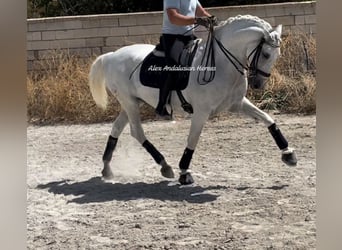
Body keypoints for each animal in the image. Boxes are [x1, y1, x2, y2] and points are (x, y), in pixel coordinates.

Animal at [88, 14, 296, 185]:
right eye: (266, 54)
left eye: (277, 55)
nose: (258, 84)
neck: (222, 63)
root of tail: (111, 56)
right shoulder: (201, 112)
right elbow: (193, 139)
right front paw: (184, 172)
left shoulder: (236, 104)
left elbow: (268, 119)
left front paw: (288, 154)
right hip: (129, 102)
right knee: (137, 132)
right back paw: (165, 166)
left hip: (132, 102)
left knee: (117, 127)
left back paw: (107, 168)